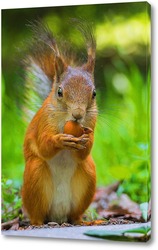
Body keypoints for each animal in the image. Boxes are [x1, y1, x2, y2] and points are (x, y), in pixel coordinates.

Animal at [21, 19, 97, 225]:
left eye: (94, 93)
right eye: (60, 92)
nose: (78, 114)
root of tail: (59, 216)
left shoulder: (92, 120)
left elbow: (84, 151)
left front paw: (87, 139)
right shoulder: (44, 122)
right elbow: (44, 145)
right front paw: (60, 140)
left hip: (88, 174)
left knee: (75, 214)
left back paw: (86, 221)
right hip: (35, 176)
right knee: (37, 215)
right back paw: (36, 224)